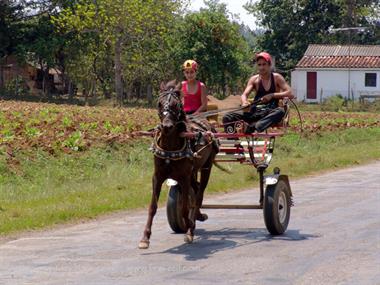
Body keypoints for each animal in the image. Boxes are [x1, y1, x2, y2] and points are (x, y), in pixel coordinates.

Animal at [139, 80, 217, 248]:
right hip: (192, 172)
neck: (170, 146)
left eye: (176, 104)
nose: (167, 126)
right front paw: (145, 238)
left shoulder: (183, 178)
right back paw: (198, 216)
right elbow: (153, 207)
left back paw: (192, 225)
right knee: (196, 190)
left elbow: (184, 208)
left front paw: (190, 227)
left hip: (206, 167)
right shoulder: (158, 176)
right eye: (159, 104)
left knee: (199, 194)